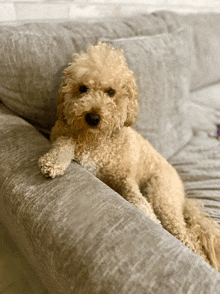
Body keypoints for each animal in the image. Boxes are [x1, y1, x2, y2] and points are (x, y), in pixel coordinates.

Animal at [38, 41, 220, 272]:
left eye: (111, 92)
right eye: (82, 88)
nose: (93, 117)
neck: (95, 140)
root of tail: (184, 195)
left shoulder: (125, 178)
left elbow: (137, 199)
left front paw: (149, 219)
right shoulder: (63, 135)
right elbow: (64, 143)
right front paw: (53, 162)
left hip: (161, 195)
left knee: (190, 240)